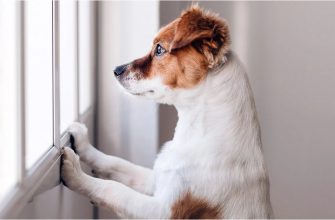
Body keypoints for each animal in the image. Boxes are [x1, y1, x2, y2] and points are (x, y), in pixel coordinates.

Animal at [61, 5, 274, 218]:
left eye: (159, 49)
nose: (116, 70)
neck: (195, 134)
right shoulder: (156, 180)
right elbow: (116, 163)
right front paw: (83, 143)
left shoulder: (163, 211)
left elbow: (114, 189)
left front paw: (76, 174)